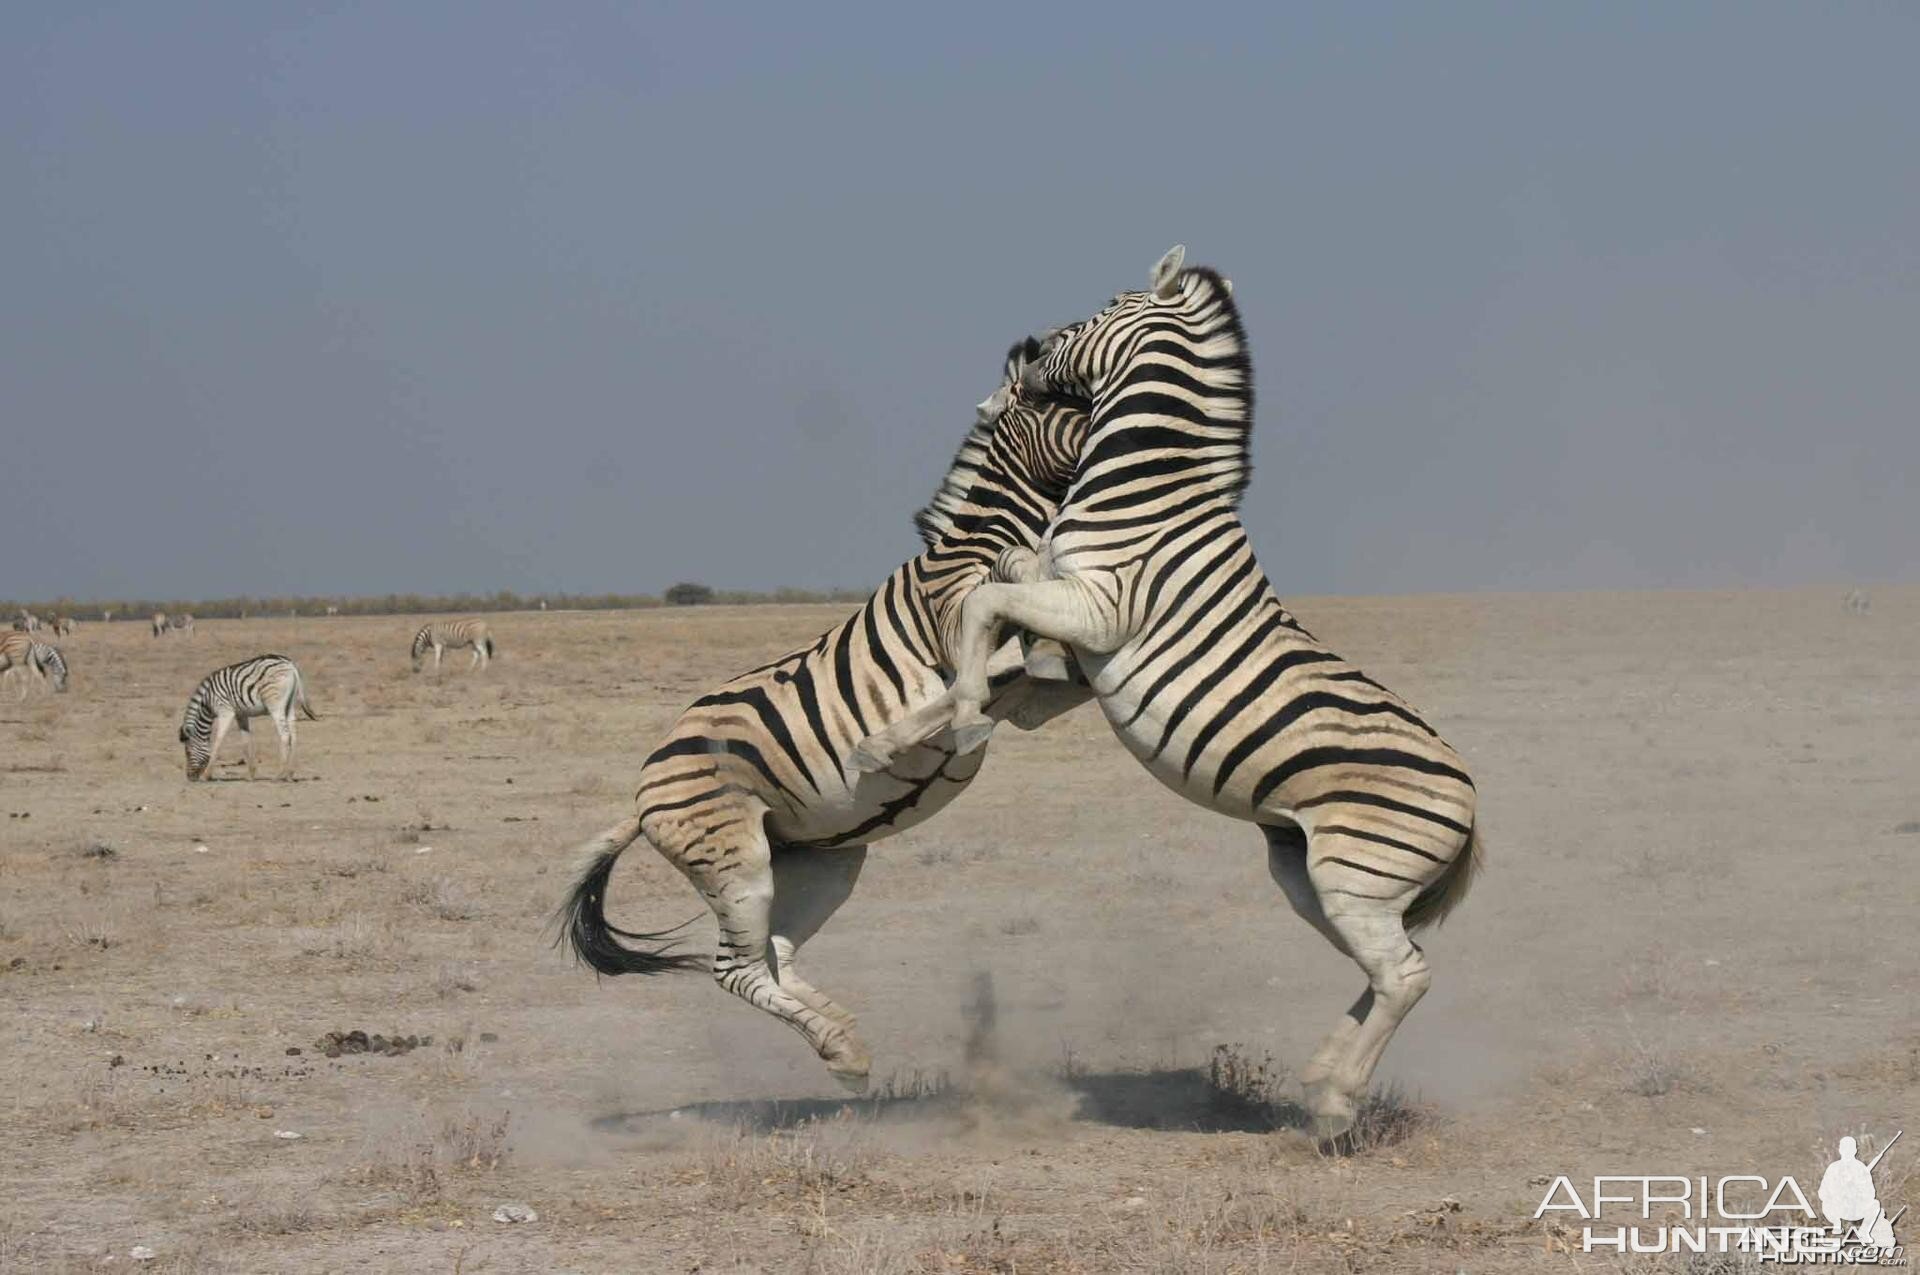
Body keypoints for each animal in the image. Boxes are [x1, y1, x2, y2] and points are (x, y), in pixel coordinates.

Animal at [181, 652, 316, 783]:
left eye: (188, 752)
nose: (190, 778)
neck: (207, 702)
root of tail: (290, 664)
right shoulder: (241, 714)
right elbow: (246, 741)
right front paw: (251, 775)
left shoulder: (225, 711)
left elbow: (218, 741)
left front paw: (207, 775)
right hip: (290, 705)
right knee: (294, 736)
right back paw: (290, 775)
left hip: (275, 704)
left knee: (285, 735)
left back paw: (278, 776)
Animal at [560, 341, 1098, 1098]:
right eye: (1064, 405)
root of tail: (639, 797)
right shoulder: (960, 630)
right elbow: (996, 650)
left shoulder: (1030, 694)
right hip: (737, 865)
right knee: (736, 970)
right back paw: (840, 1048)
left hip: (822, 861)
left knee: (775, 955)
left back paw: (843, 1038)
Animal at [856, 249, 1482, 1136]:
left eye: (1092, 312)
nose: (1026, 348)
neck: (1146, 491)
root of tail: (1473, 799)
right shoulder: (1070, 641)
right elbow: (1002, 636)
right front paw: (901, 733)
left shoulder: (1096, 606)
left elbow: (984, 608)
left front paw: (967, 712)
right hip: (1318, 876)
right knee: (1391, 964)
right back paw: (1323, 1075)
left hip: (1356, 872)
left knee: (1405, 974)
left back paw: (1333, 1104)